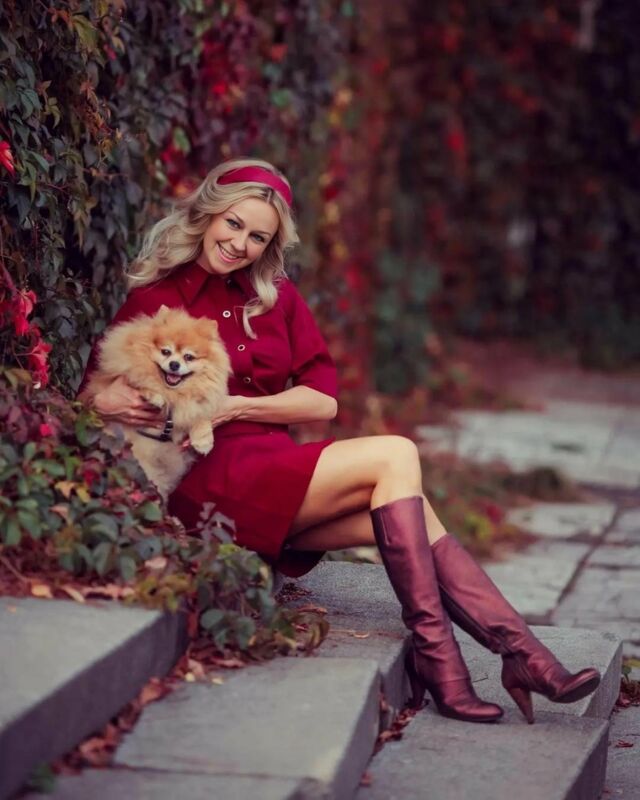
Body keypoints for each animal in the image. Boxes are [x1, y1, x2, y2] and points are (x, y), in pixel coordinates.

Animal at [81, 305, 231, 499]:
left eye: (189, 357)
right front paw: (154, 396)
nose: (174, 364)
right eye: (166, 351)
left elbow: (200, 415)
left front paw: (203, 440)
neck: (174, 393)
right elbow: (141, 381)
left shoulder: (193, 405)